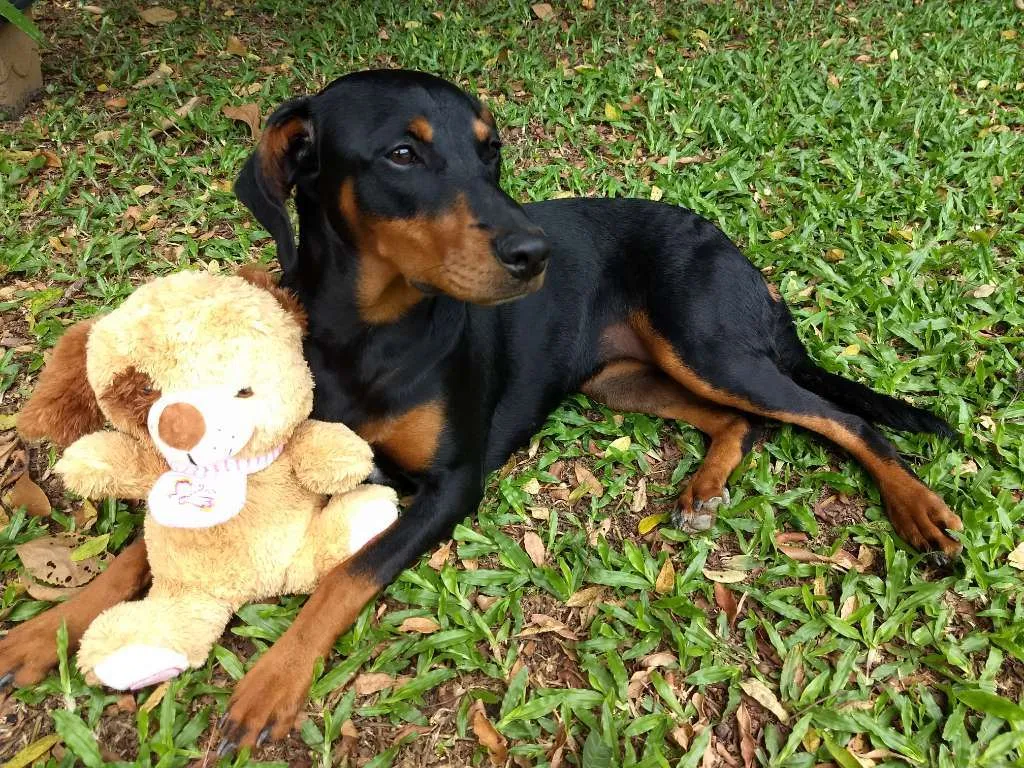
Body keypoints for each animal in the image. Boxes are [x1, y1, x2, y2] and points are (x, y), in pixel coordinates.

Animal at [0, 70, 961, 752]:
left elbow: (348, 575)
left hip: (709, 344)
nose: (535, 254)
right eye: (403, 154)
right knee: (742, 421)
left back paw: (923, 514)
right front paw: (44, 629)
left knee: (839, 419)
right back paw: (704, 487)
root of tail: (727, 241)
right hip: (625, 375)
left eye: (489, 152)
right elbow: (139, 553)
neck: (369, 332)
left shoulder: (452, 484)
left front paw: (271, 684)